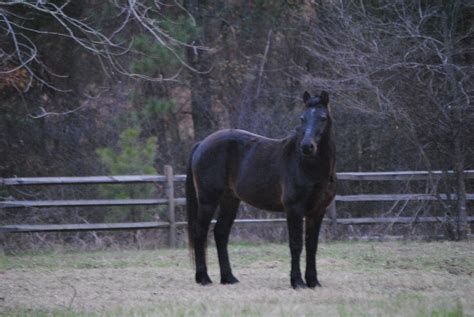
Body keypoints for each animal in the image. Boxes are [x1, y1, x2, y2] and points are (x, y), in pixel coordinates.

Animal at [185, 90, 336, 288]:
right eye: (302, 118)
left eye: (323, 118)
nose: (307, 147)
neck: (307, 166)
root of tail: (201, 144)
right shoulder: (294, 209)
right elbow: (296, 244)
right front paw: (297, 282)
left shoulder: (317, 211)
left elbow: (312, 246)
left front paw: (313, 281)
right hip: (208, 201)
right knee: (200, 233)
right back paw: (203, 278)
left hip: (230, 200)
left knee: (221, 233)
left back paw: (229, 278)